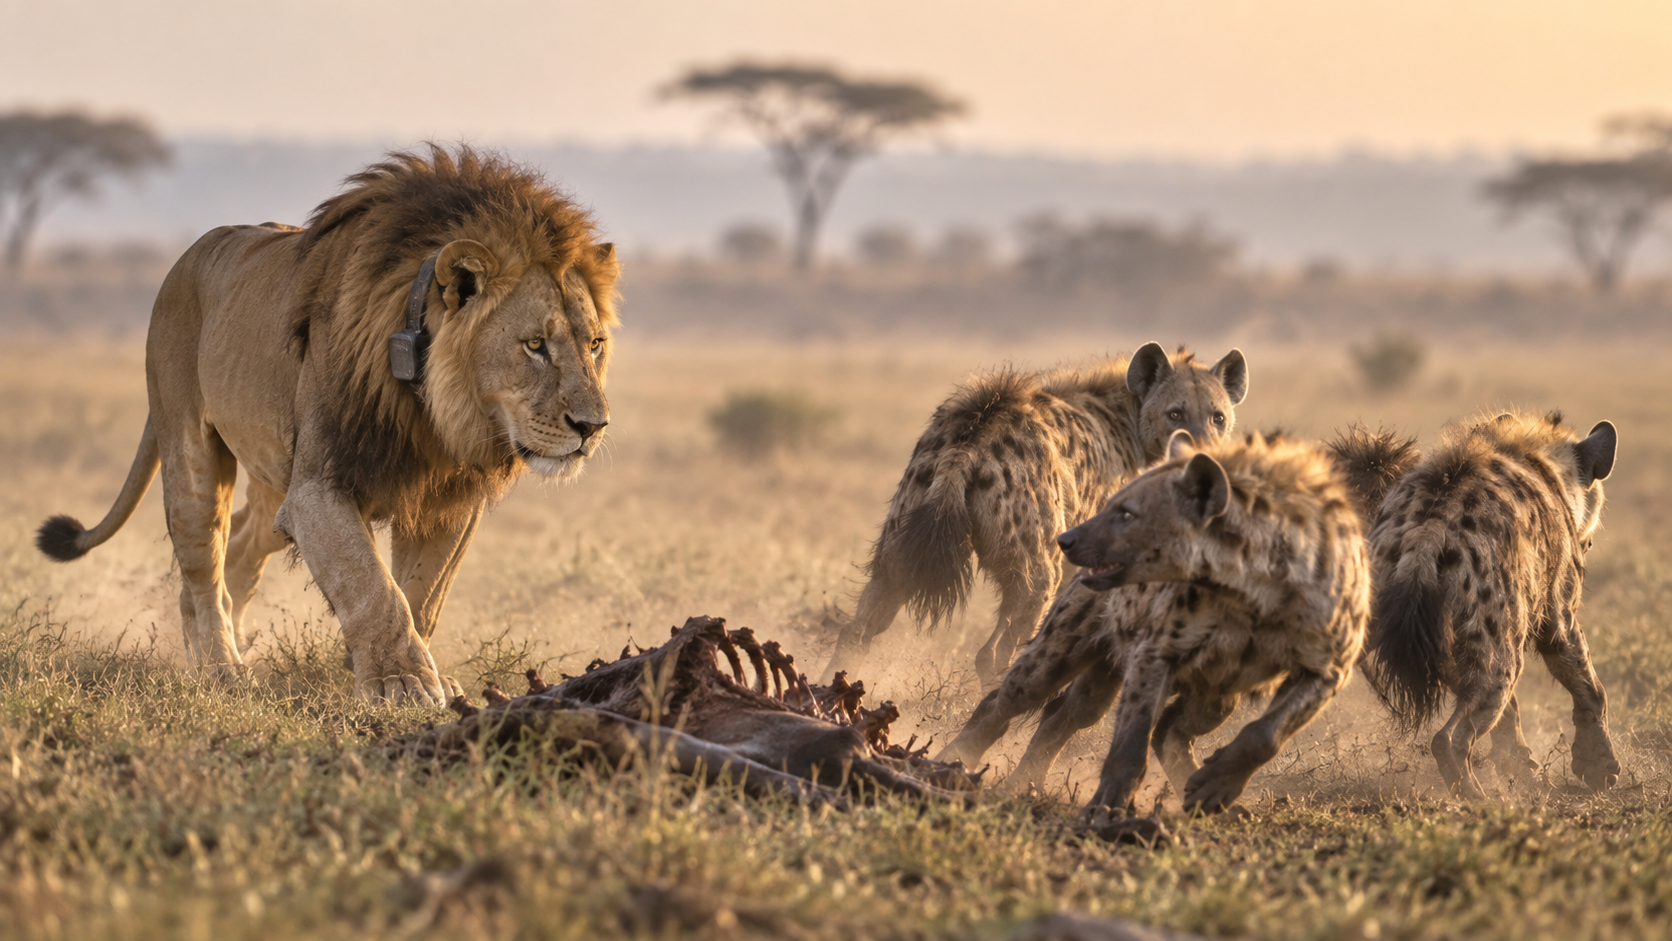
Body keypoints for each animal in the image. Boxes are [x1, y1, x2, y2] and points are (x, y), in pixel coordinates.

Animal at [35, 146, 620, 705]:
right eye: (535, 345)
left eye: (594, 344)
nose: (592, 427)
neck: (434, 412)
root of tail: (189, 254)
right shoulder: (318, 488)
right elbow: (370, 584)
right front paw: (402, 683)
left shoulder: (447, 498)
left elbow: (422, 594)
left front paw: (421, 672)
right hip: (192, 454)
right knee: (203, 564)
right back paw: (221, 667)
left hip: (276, 482)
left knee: (242, 545)